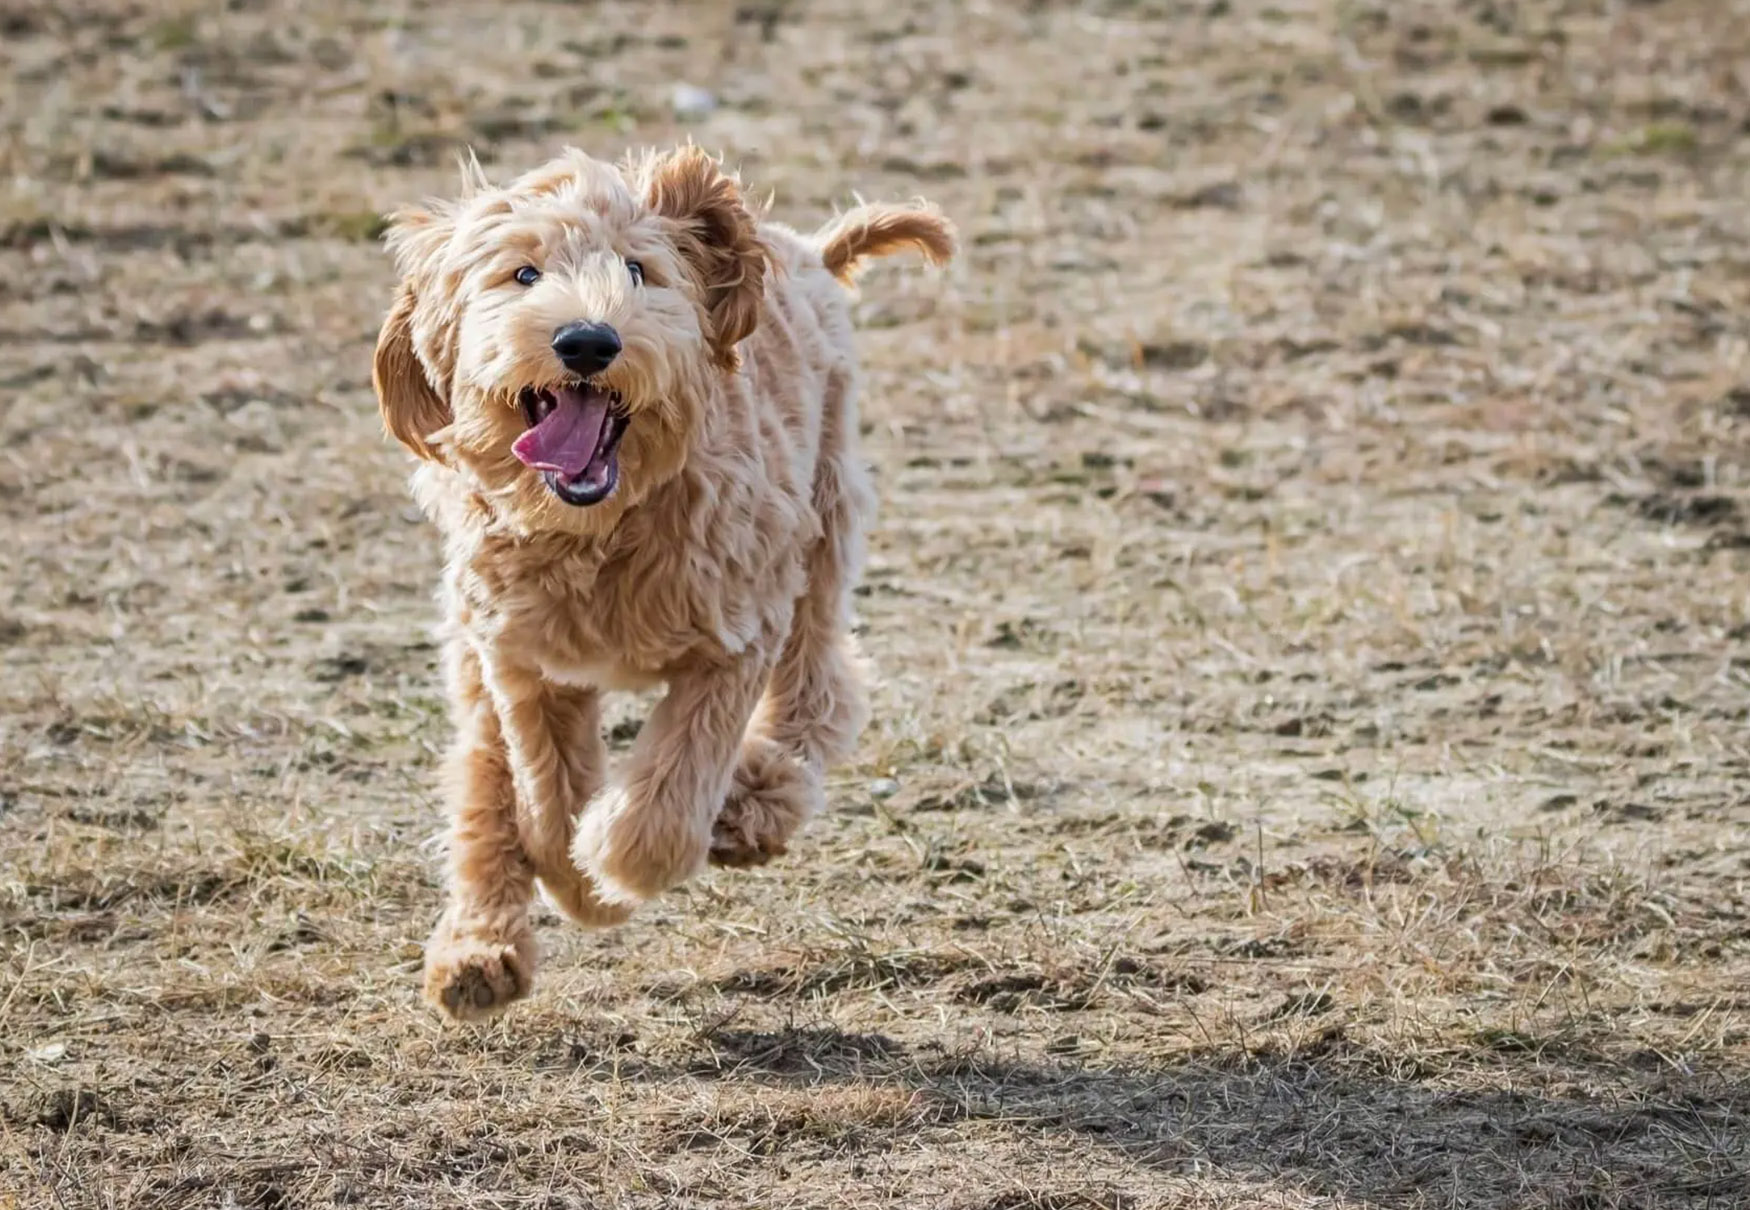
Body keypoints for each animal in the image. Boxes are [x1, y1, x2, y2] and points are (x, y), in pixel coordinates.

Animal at [362, 144, 952, 1022]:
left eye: (639, 271)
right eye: (523, 273)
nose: (586, 341)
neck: (602, 529)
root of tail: (806, 250)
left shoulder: (735, 633)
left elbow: (666, 809)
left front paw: (610, 870)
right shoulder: (522, 660)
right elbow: (541, 796)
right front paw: (573, 879)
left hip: (821, 524)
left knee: (821, 683)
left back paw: (755, 803)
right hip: (474, 642)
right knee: (481, 779)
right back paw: (478, 953)